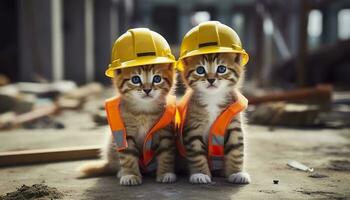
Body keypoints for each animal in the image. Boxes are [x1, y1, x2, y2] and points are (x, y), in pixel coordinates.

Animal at [179, 52, 250, 184]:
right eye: (200, 70)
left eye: (221, 69)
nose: (211, 79)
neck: (213, 98)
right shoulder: (193, 127)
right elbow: (196, 152)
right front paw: (200, 174)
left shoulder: (234, 124)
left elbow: (236, 149)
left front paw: (237, 173)